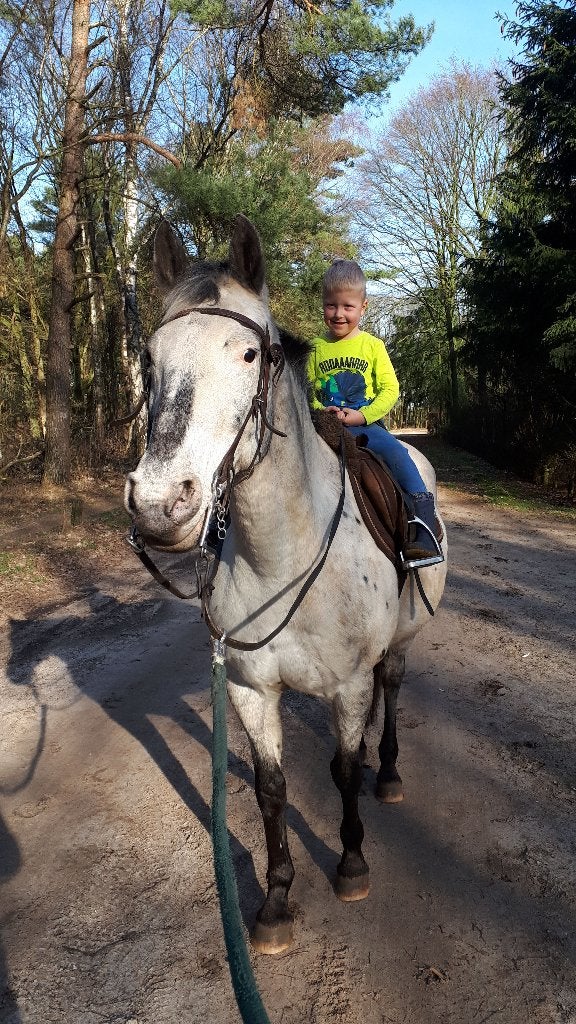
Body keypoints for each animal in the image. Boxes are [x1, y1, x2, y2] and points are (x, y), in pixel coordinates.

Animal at [124, 215, 448, 955]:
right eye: (149, 360)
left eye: (250, 355)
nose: (161, 506)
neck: (284, 557)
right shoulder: (249, 688)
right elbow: (271, 788)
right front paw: (275, 900)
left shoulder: (348, 684)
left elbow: (343, 769)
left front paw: (351, 863)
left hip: (401, 641)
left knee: (392, 690)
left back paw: (390, 772)